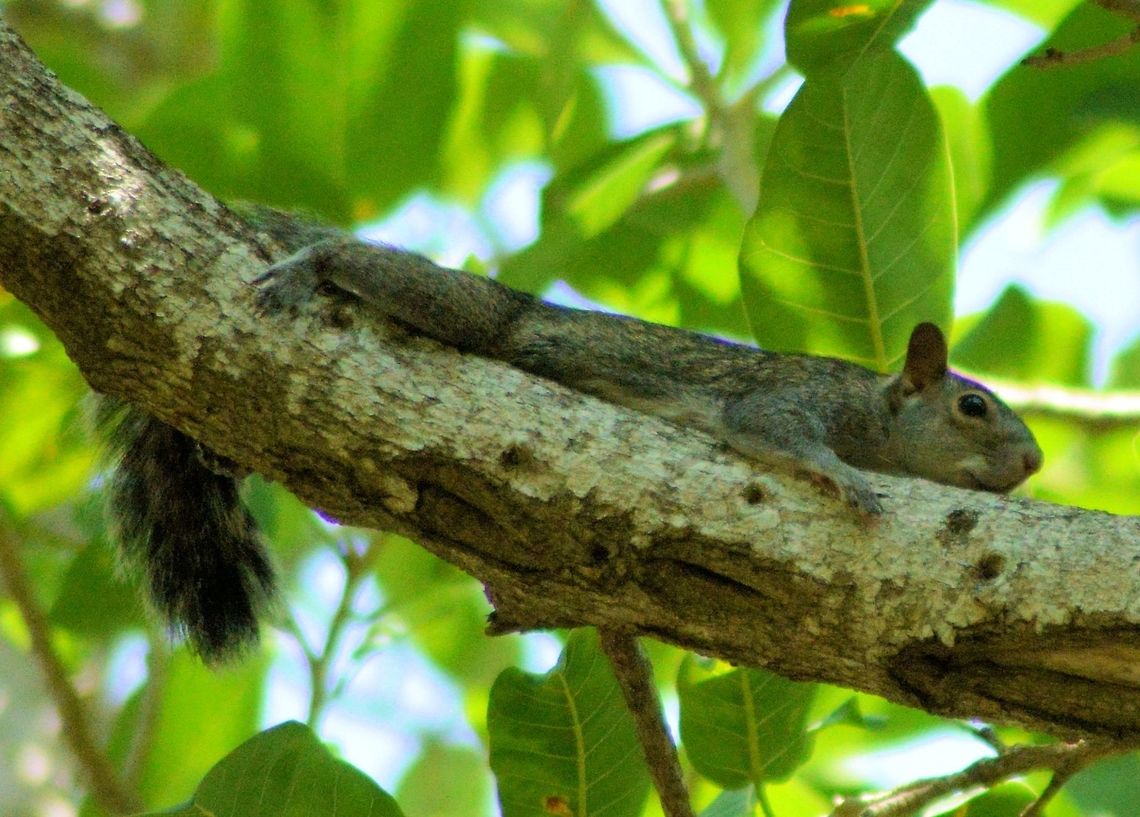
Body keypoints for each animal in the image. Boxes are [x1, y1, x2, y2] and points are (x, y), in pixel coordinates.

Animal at [99, 211, 1042, 661]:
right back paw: (312, 264)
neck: (878, 411)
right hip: (476, 316)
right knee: (390, 275)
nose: (1033, 459)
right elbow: (773, 432)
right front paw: (843, 479)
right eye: (973, 407)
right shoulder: (793, 398)